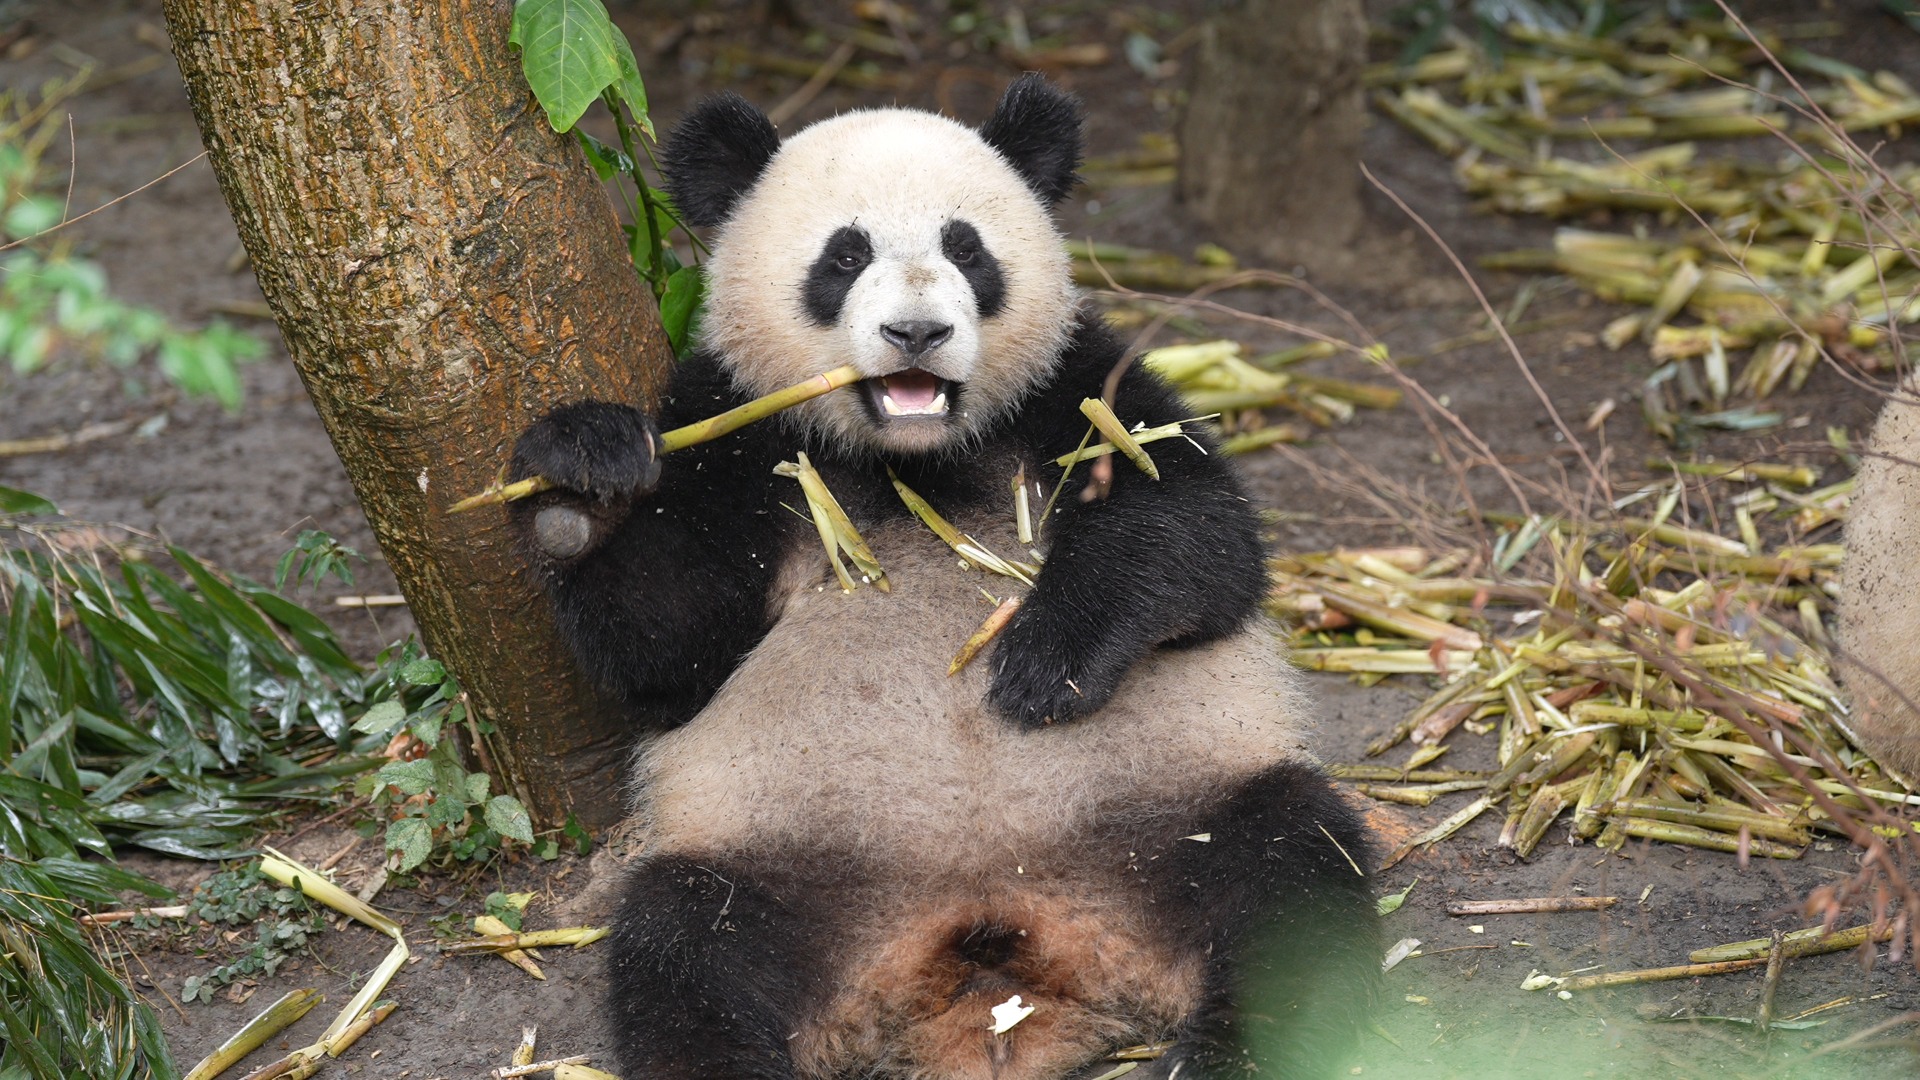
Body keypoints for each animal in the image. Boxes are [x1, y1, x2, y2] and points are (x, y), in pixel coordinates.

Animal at [506, 75, 1380, 1079]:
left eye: (967, 247)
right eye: (845, 254)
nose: (917, 333)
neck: (913, 458)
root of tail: (997, 941)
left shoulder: (1076, 384)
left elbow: (1200, 535)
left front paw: (1043, 662)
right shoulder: (738, 430)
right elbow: (662, 646)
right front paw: (577, 484)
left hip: (1174, 811)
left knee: (1293, 874)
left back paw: (1224, 1051)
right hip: (789, 867)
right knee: (684, 948)